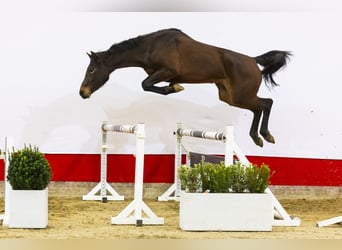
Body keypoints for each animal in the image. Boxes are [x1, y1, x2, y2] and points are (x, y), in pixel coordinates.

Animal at [80, 27, 292, 146]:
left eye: (91, 70)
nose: (83, 93)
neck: (150, 47)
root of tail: (253, 61)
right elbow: (149, 84)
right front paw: (173, 88)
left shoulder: (167, 71)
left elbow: (145, 84)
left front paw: (174, 89)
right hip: (231, 97)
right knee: (258, 107)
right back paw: (257, 137)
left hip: (241, 95)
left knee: (266, 103)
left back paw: (265, 135)